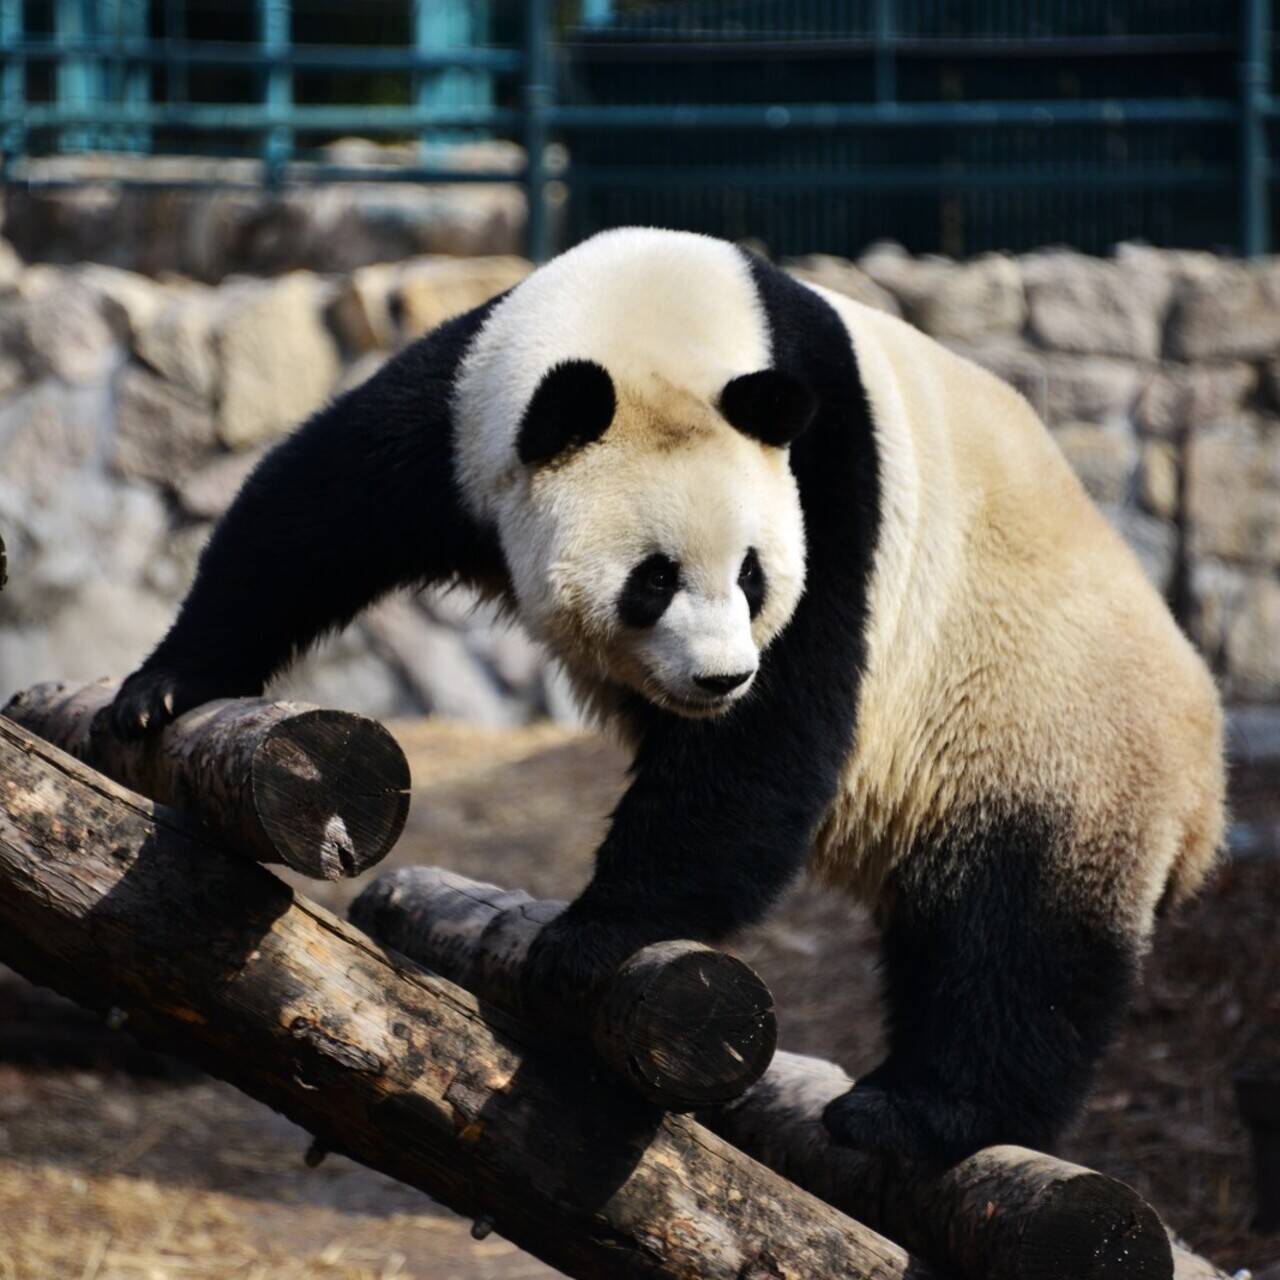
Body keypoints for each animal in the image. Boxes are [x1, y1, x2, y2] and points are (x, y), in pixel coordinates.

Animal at [107, 225, 1218, 1167]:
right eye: (655, 579)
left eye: (754, 575)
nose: (721, 676)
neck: (661, 319)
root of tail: (1206, 778)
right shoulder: (464, 409)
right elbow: (309, 518)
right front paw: (160, 690)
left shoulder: (829, 488)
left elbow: (771, 737)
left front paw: (588, 936)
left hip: (1049, 726)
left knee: (1019, 944)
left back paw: (915, 1112)